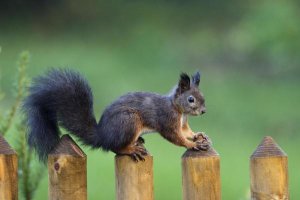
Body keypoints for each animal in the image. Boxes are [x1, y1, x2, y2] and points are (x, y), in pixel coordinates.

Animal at [22, 68, 211, 161]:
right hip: (129, 121)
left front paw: (198, 135)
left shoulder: (182, 123)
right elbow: (175, 137)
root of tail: (103, 135)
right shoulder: (167, 120)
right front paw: (191, 144)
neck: (179, 110)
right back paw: (130, 149)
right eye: (191, 99)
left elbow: (186, 132)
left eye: (203, 96)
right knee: (114, 148)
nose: (203, 111)